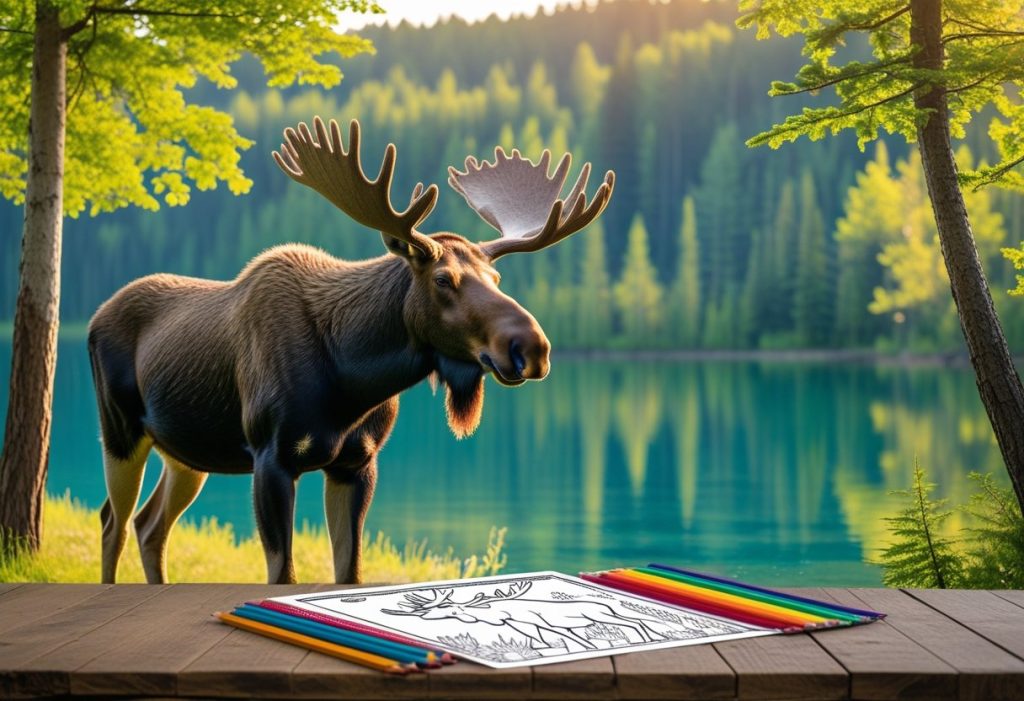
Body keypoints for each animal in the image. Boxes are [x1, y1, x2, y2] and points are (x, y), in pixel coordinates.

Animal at [87, 118, 614, 585]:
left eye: (497, 278)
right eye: (443, 280)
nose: (532, 347)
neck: (349, 382)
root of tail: (95, 317)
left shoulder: (356, 462)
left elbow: (350, 571)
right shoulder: (271, 455)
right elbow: (283, 572)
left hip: (185, 452)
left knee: (149, 526)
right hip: (120, 430)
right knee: (113, 522)